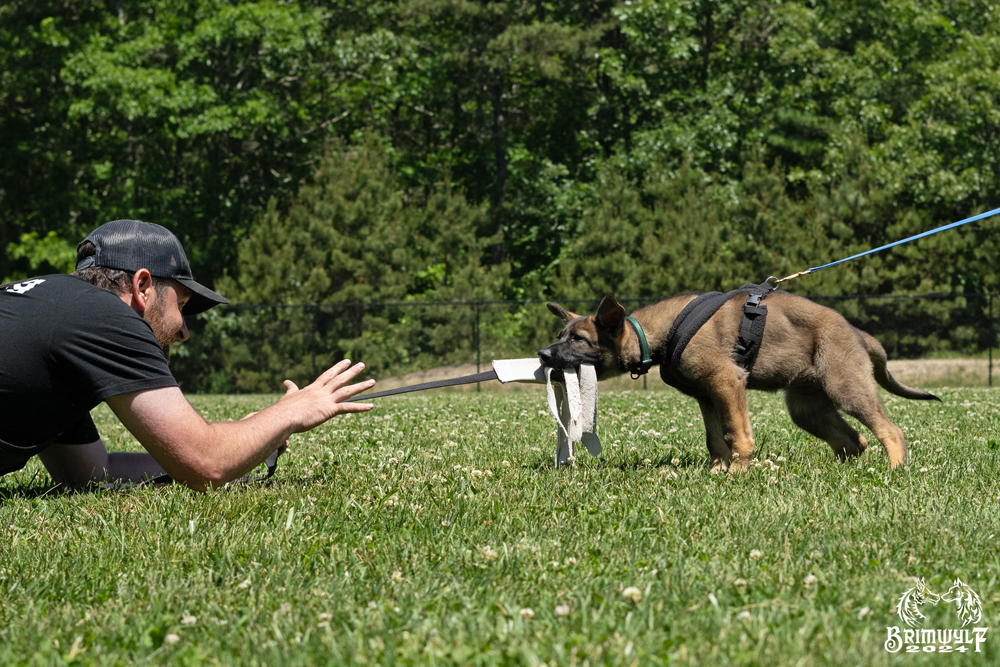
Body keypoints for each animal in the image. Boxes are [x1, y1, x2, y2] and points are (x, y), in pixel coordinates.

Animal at [538, 292, 939, 471]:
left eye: (579, 340)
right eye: (560, 335)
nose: (542, 354)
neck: (660, 334)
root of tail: (857, 332)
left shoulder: (727, 383)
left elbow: (737, 434)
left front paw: (738, 472)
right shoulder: (706, 395)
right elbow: (715, 438)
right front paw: (718, 470)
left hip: (846, 388)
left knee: (890, 430)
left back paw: (894, 469)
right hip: (806, 408)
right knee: (853, 440)